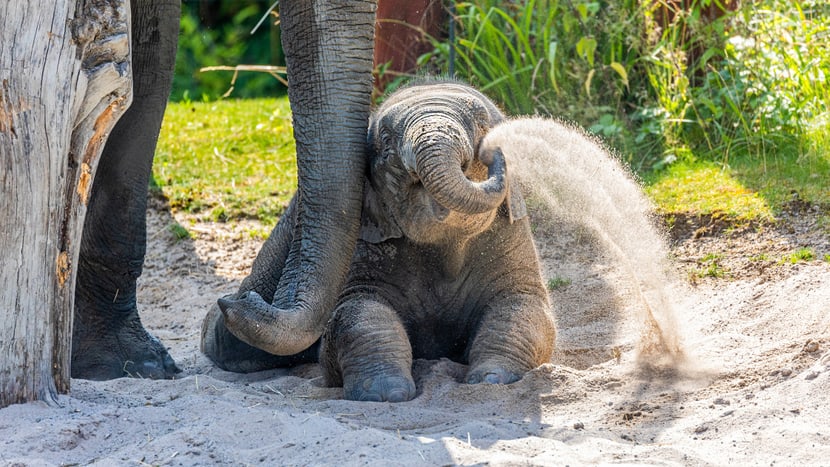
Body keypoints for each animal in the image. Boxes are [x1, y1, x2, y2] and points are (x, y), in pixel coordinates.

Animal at [203, 80, 557, 402]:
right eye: (386, 142)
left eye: (482, 123)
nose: (493, 151)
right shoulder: (363, 248)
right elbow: (358, 312)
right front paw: (386, 393)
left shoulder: (510, 239)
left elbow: (524, 308)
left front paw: (491, 379)